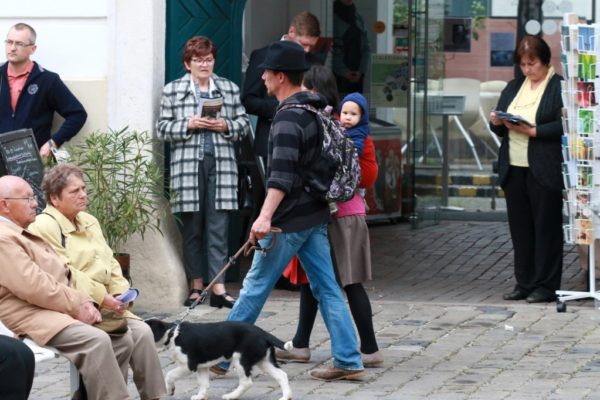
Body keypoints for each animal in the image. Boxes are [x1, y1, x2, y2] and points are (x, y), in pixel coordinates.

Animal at [146, 318, 294, 400]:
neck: (172, 334)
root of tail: (263, 333)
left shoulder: (188, 365)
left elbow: (170, 374)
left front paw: (170, 390)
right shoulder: (202, 366)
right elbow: (203, 383)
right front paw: (200, 397)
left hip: (241, 359)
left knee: (246, 382)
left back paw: (231, 396)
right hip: (264, 361)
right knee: (282, 375)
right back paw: (285, 397)